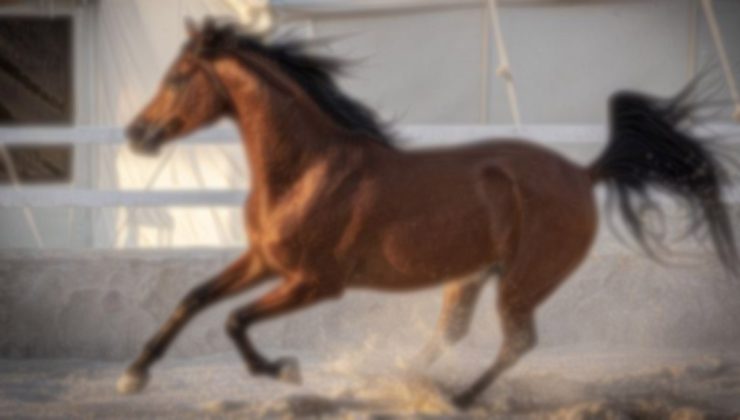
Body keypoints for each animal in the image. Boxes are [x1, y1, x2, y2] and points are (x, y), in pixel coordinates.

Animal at [117, 18, 736, 408]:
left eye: (176, 78)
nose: (136, 135)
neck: (307, 171)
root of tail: (585, 174)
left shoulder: (315, 282)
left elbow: (233, 320)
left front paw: (283, 369)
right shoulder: (264, 261)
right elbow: (194, 298)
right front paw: (133, 375)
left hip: (521, 283)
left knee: (517, 342)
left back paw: (458, 399)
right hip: (470, 276)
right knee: (452, 334)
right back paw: (403, 382)